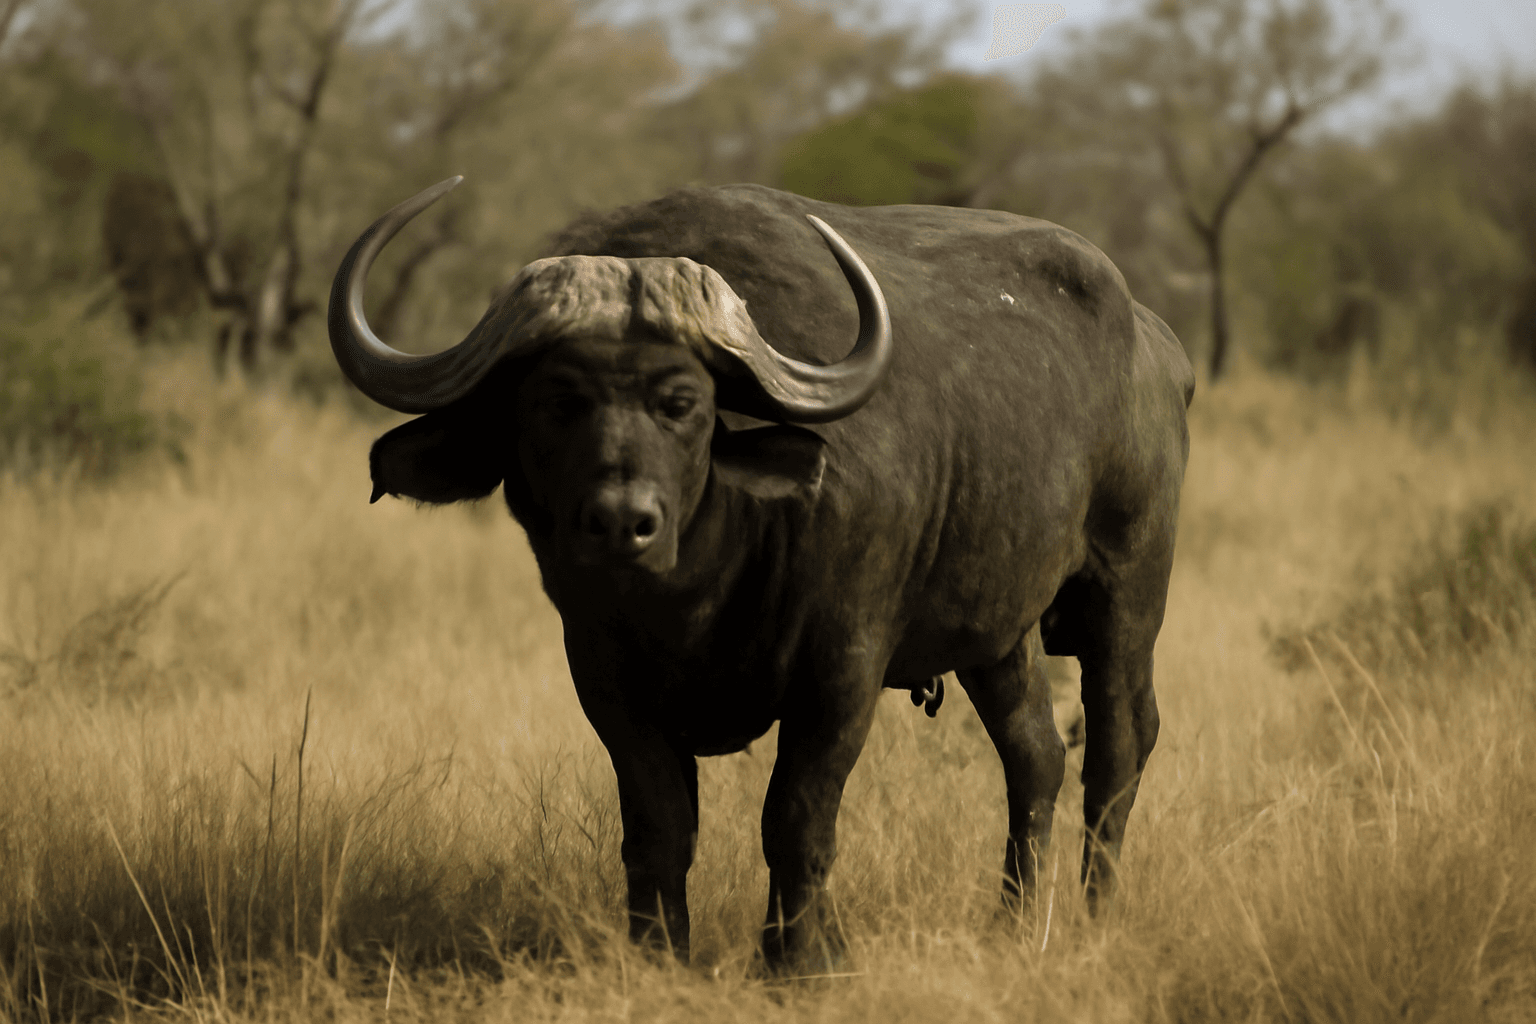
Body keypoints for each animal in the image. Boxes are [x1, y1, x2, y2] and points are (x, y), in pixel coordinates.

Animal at [329, 177, 1194, 971]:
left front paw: (797, 960)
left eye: (683, 403)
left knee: (1119, 744)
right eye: (554, 403)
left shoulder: (842, 671)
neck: (700, 590)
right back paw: (1014, 925)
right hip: (1000, 634)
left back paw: (1094, 915)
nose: (620, 522)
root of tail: (1160, 346)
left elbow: (796, 820)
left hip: (1126, 594)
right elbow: (659, 829)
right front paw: (661, 956)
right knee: (1036, 756)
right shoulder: (605, 678)